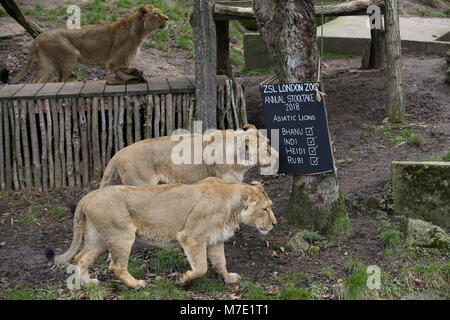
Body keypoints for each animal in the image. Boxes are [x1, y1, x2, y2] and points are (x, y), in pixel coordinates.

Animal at [4, 4, 167, 84]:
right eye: (156, 14)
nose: (167, 18)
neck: (140, 32)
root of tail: (38, 37)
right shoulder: (114, 61)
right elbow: (124, 70)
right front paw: (133, 76)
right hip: (70, 57)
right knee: (59, 81)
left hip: (47, 66)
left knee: (36, 82)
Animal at [44, 178, 276, 288]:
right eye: (265, 209)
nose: (274, 223)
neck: (233, 207)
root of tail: (88, 196)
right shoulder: (192, 237)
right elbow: (201, 267)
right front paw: (184, 280)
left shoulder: (215, 240)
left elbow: (220, 263)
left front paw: (228, 278)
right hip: (122, 234)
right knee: (116, 266)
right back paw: (136, 284)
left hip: (98, 238)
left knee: (80, 258)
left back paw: (88, 283)